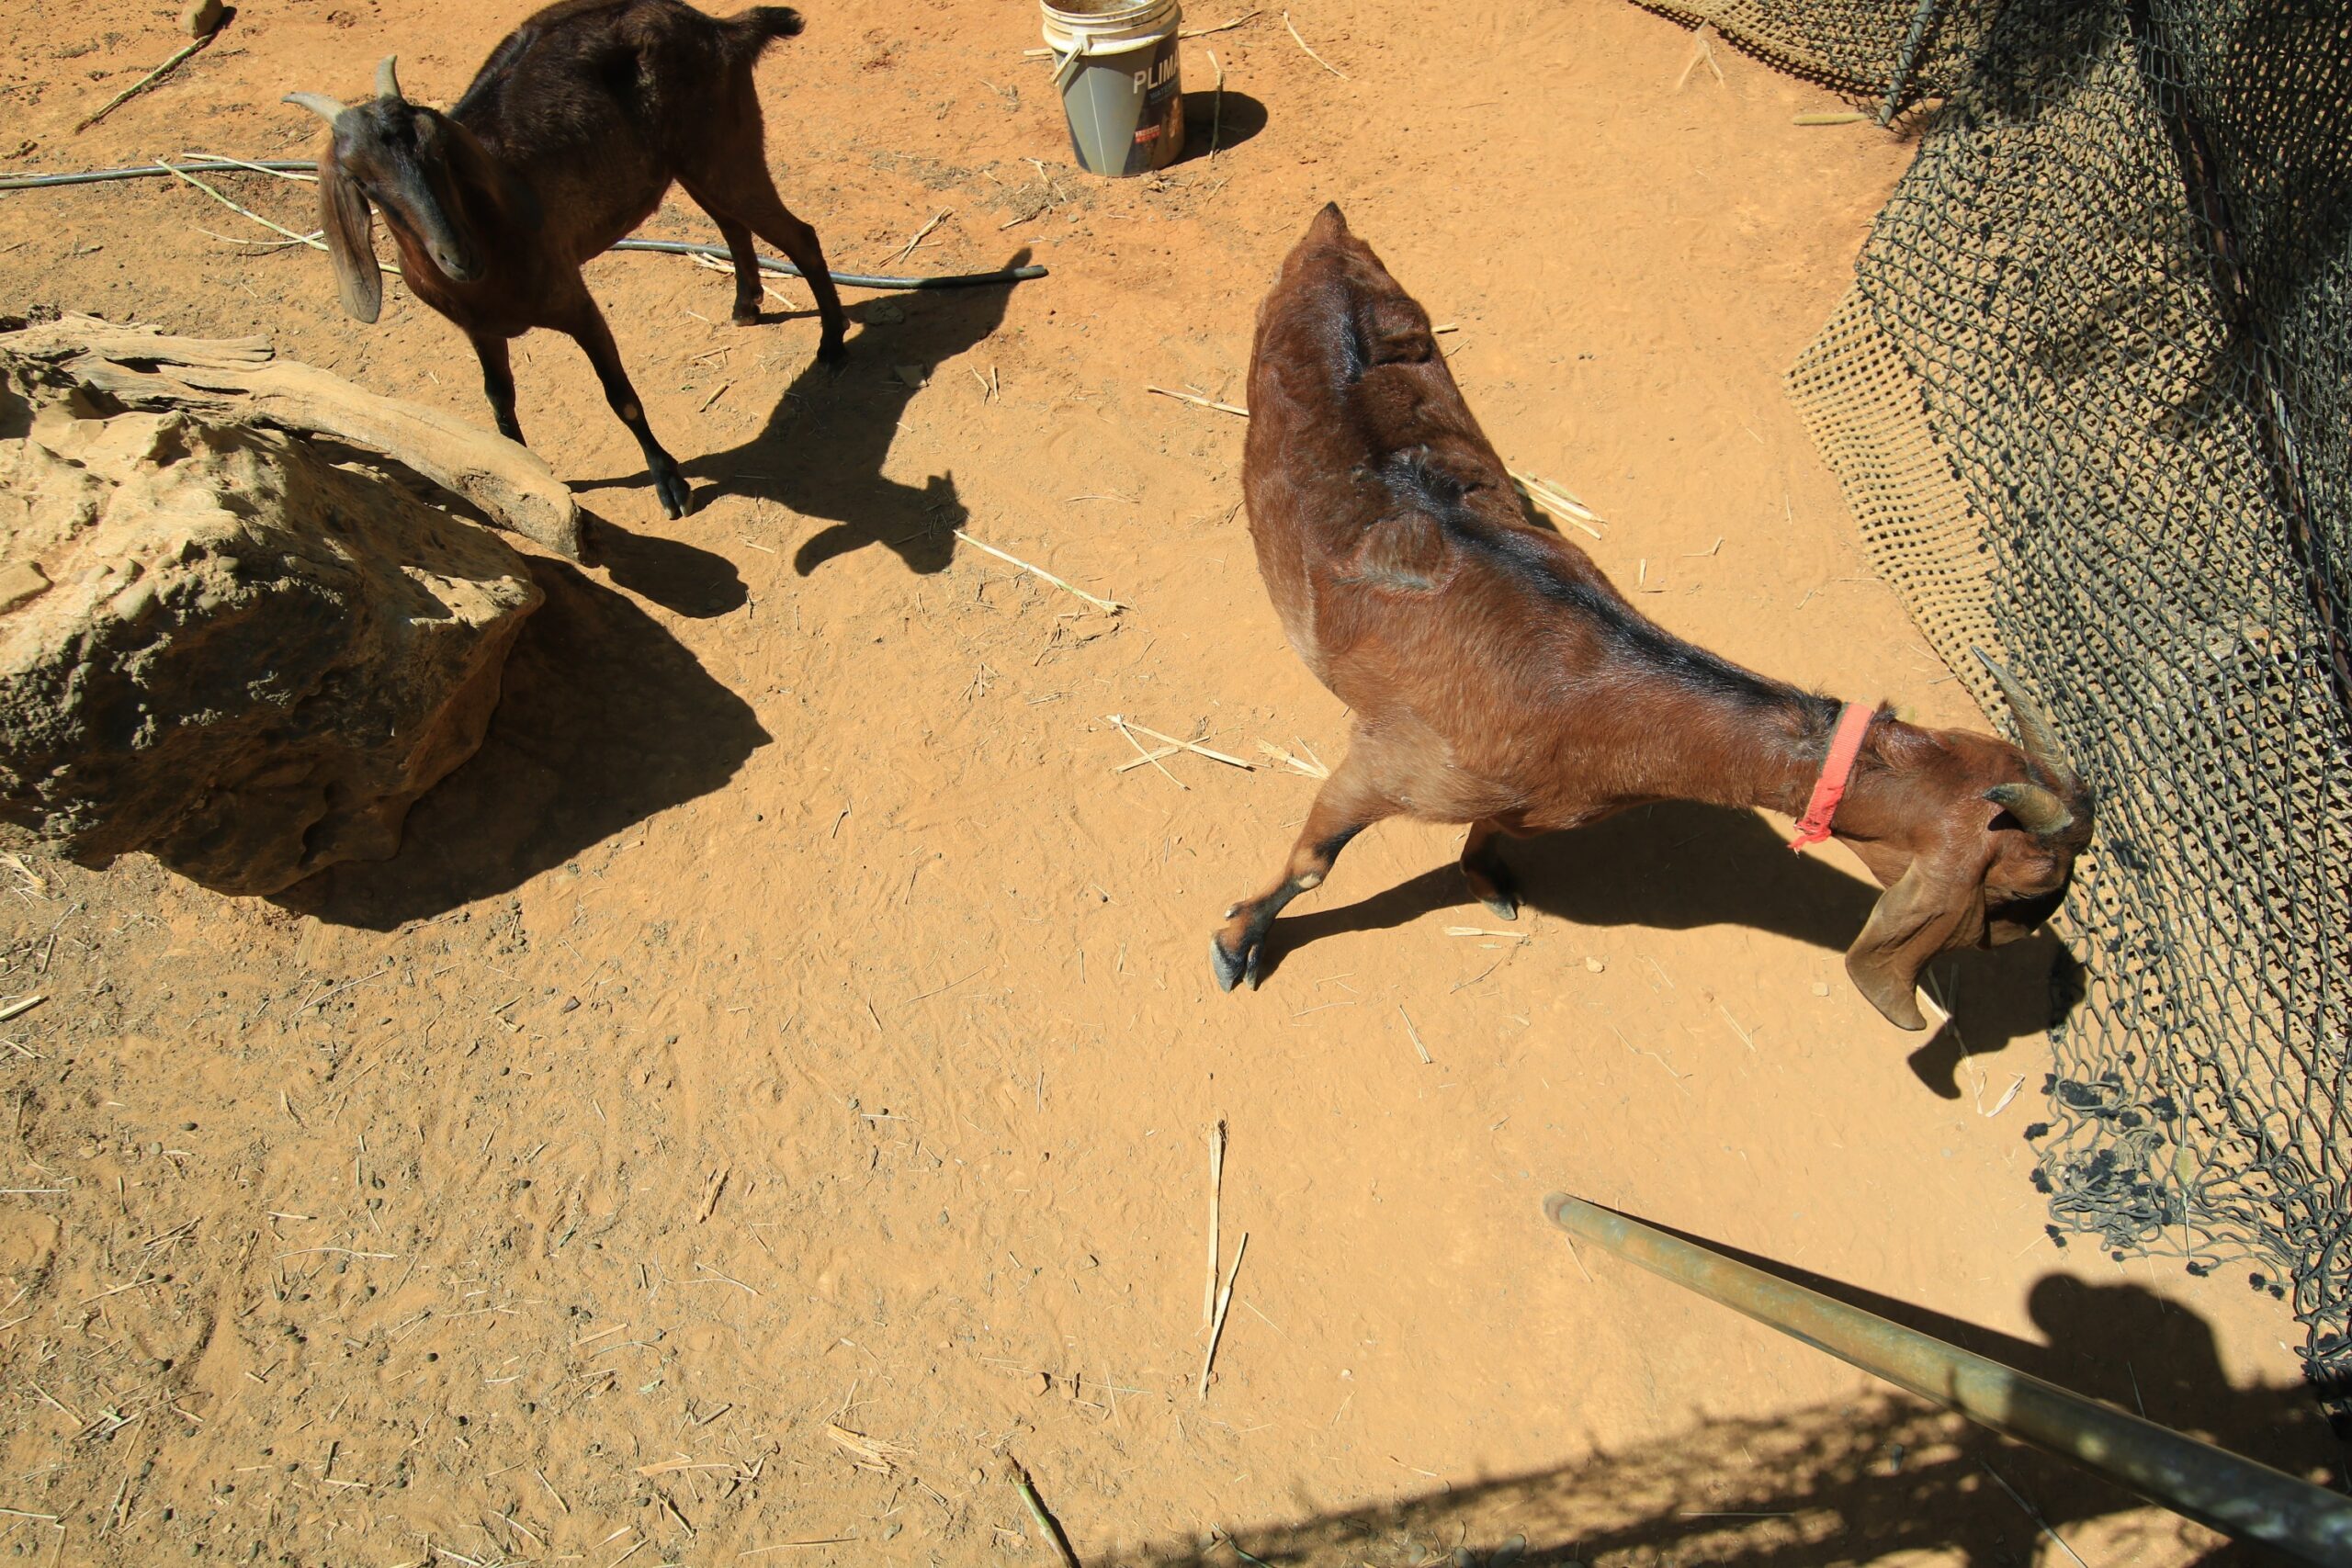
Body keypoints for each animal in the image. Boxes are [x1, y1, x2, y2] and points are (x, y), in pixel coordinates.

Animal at [287, 0, 846, 522]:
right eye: (362, 182)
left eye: (440, 153)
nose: (459, 257)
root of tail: (719, 28)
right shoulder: (477, 328)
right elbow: (499, 396)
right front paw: (516, 473)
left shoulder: (574, 300)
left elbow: (620, 396)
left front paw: (671, 486)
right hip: (690, 163)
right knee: (731, 223)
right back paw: (746, 305)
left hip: (725, 146)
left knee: (799, 235)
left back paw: (832, 345)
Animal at [1213, 205, 2098, 1029]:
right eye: (2027, 885)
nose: (2013, 946)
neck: (1597, 699)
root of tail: (1330, 228)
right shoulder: (1386, 764)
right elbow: (1313, 862)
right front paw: (1235, 943)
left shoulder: (1531, 798)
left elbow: (1498, 831)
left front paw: (1484, 877)